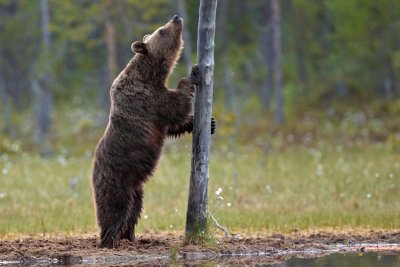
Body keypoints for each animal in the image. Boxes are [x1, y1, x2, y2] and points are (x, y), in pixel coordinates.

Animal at [92, 14, 216, 249]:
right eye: (161, 30)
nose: (176, 17)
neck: (150, 75)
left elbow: (173, 124)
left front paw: (210, 124)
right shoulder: (147, 99)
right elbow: (175, 106)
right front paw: (193, 74)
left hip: (136, 187)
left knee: (134, 210)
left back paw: (131, 237)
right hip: (116, 179)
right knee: (115, 208)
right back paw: (110, 240)